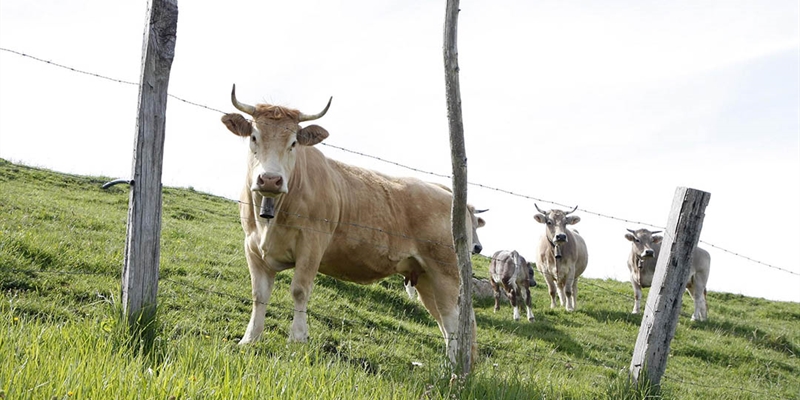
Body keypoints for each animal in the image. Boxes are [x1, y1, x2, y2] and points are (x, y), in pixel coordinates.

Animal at [219, 86, 478, 368]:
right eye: (254, 137)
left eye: (293, 143)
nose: (270, 179)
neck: (270, 219)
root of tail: (448, 192)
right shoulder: (252, 247)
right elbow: (259, 294)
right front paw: (249, 339)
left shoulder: (312, 245)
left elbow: (299, 290)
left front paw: (297, 340)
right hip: (425, 278)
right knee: (446, 321)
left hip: (446, 272)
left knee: (454, 321)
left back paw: (453, 368)